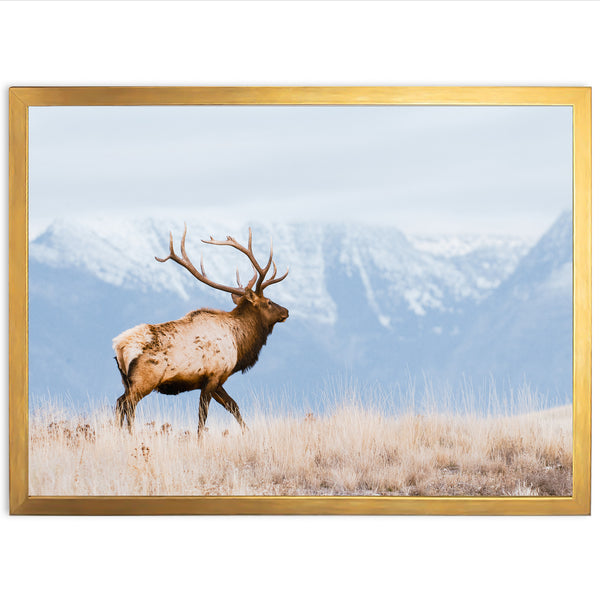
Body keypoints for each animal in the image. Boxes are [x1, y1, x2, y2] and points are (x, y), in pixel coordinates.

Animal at [114, 227, 290, 434]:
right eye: (269, 302)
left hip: (126, 381)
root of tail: (120, 346)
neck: (239, 344)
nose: (286, 311)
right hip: (144, 380)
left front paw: (248, 432)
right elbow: (203, 416)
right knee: (125, 404)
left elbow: (233, 406)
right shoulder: (212, 377)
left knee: (123, 404)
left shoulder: (217, 381)